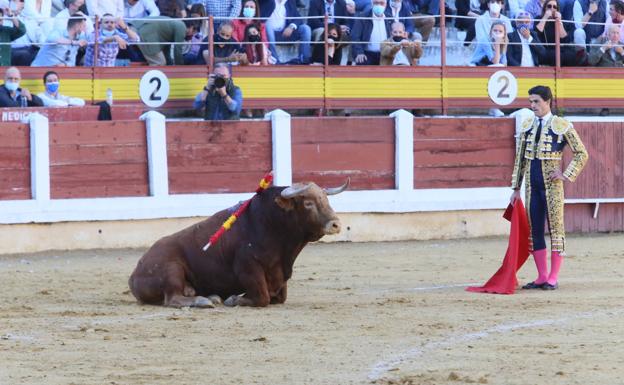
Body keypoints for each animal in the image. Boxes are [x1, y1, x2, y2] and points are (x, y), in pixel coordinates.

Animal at [129, 178, 348, 308]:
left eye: (326, 200)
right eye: (308, 203)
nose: (336, 224)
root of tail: (135, 273)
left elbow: (279, 297)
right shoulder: (248, 268)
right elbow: (262, 298)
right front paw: (234, 298)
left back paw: (211, 297)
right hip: (171, 269)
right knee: (172, 298)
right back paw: (203, 300)